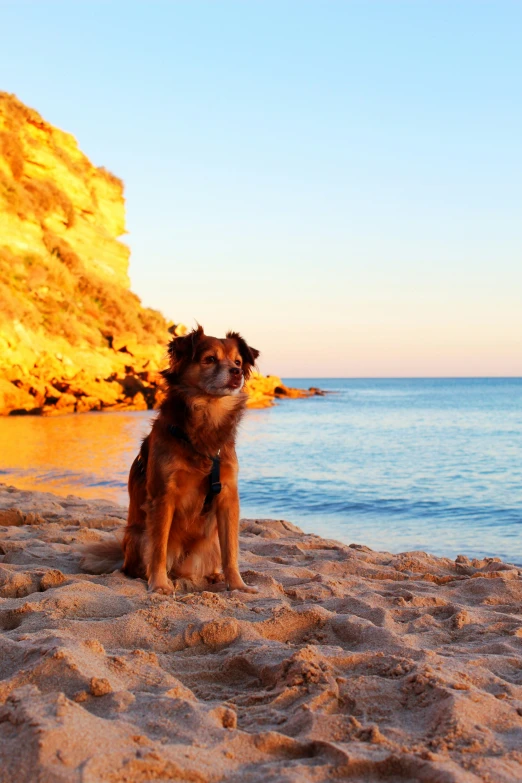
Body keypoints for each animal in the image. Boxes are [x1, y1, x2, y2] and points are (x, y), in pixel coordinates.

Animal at [81, 324, 258, 596]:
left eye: (237, 361)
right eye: (210, 359)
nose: (237, 372)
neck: (207, 414)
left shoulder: (228, 495)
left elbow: (231, 551)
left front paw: (238, 585)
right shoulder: (164, 495)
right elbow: (159, 549)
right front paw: (159, 584)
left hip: (209, 543)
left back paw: (213, 576)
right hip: (139, 534)